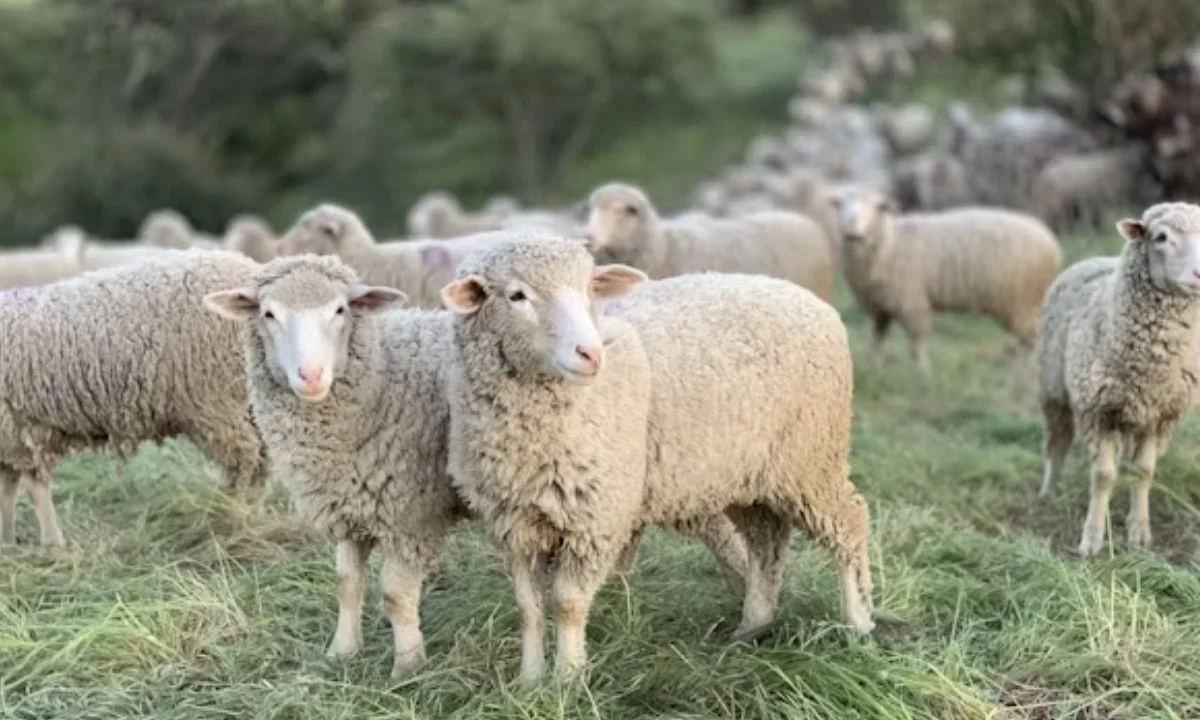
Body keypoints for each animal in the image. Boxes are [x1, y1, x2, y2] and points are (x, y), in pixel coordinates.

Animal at [0, 249, 267, 547]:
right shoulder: (10, 438)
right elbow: (8, 490)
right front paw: (8, 541)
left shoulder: (18, 429)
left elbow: (34, 487)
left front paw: (52, 543)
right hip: (246, 400)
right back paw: (251, 515)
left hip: (219, 400)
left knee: (247, 461)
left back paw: (236, 518)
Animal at [204, 252, 749, 678]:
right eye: (268, 314)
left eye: (340, 310)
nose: (311, 375)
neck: (380, 377)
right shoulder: (347, 507)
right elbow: (346, 584)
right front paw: (341, 652)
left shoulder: (411, 513)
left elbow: (395, 595)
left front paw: (407, 666)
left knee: (727, 539)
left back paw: (745, 602)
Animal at [441, 236, 872, 681]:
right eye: (517, 296)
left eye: (590, 289)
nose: (591, 353)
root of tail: (810, 300)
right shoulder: (514, 523)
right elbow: (528, 608)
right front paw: (529, 681)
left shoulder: (596, 517)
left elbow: (567, 603)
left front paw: (567, 679)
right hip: (749, 473)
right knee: (765, 543)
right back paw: (753, 625)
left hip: (811, 459)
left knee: (850, 523)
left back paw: (857, 623)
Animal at [829, 187, 1063, 373]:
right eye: (841, 205)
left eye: (877, 207)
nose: (851, 225)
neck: (889, 243)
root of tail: (1052, 243)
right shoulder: (879, 306)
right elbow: (877, 338)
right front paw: (875, 365)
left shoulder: (912, 303)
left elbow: (917, 341)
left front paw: (922, 371)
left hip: (1023, 300)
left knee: (1031, 339)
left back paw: (1023, 372)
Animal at [1035, 203, 1200, 556]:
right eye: (1161, 237)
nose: (1199, 274)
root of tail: (1094, 259)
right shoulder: (1098, 411)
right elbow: (1103, 476)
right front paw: (1092, 538)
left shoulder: (1160, 415)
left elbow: (1143, 471)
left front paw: (1139, 532)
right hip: (1053, 390)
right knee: (1057, 442)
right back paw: (1050, 491)